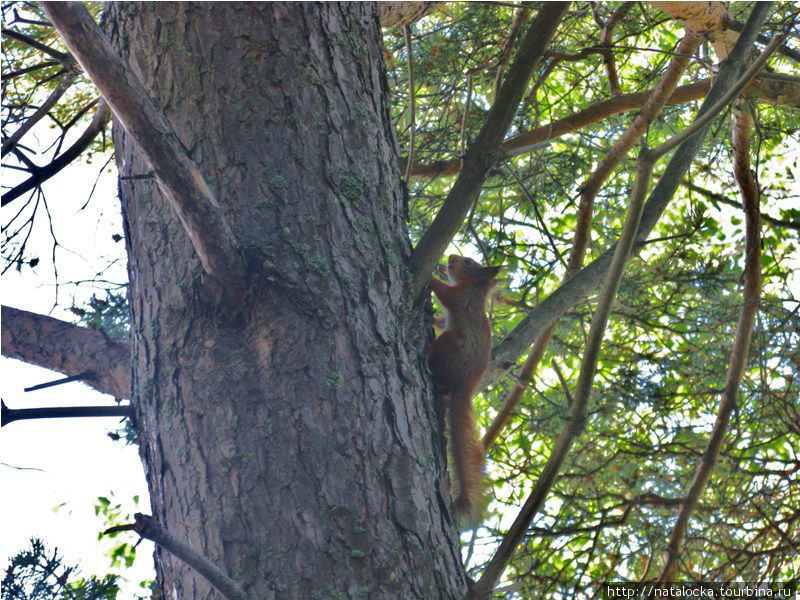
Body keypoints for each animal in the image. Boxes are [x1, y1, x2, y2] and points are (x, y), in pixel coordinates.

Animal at [432, 253, 500, 520]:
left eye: (469, 262)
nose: (450, 257)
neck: (474, 288)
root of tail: (467, 387)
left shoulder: (461, 299)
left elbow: (445, 293)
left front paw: (431, 277)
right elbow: (442, 319)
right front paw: (433, 319)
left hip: (450, 345)